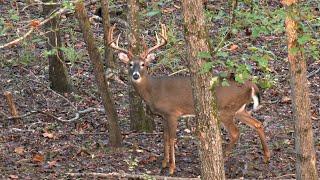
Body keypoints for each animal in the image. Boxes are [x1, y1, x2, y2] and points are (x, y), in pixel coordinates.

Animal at [108, 23, 270, 174]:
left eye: (143, 64)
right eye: (130, 64)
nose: (135, 75)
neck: (152, 91)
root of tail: (250, 84)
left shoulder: (172, 113)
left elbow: (172, 138)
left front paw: (172, 167)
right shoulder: (163, 115)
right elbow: (165, 136)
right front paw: (164, 163)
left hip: (226, 110)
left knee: (236, 133)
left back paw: (223, 158)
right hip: (239, 109)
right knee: (258, 124)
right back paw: (267, 156)